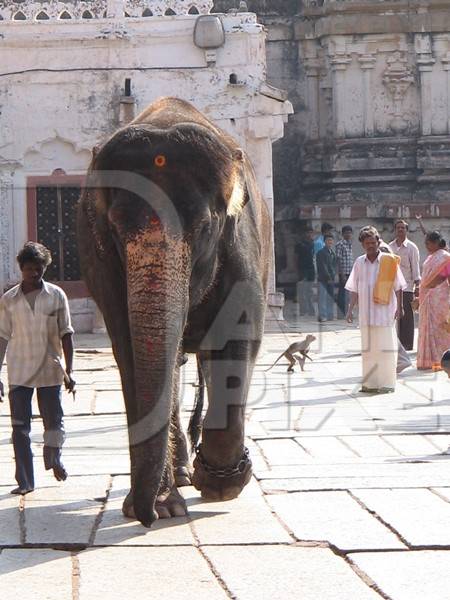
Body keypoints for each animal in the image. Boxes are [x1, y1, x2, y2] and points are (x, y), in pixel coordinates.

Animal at [77, 96, 270, 528]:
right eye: (115, 230)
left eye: (203, 228)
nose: (147, 516)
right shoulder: (101, 263)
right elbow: (128, 351)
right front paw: (165, 505)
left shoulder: (242, 247)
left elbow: (238, 338)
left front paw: (220, 486)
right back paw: (178, 475)